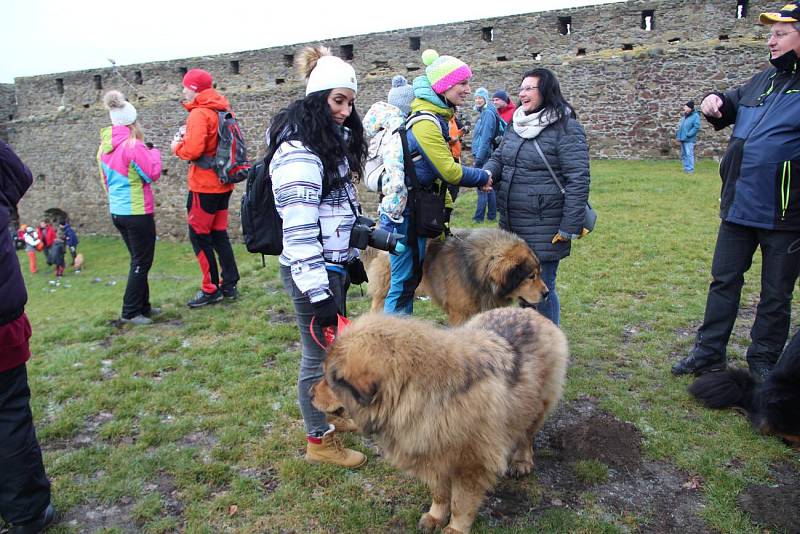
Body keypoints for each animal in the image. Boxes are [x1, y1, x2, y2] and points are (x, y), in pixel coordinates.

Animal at [312, 308, 568, 532]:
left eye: (330, 380)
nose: (309, 393)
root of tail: (528, 311)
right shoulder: (433, 452)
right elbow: (440, 493)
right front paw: (435, 517)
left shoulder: (470, 463)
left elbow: (461, 503)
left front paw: (455, 528)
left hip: (538, 404)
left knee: (527, 435)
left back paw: (521, 461)